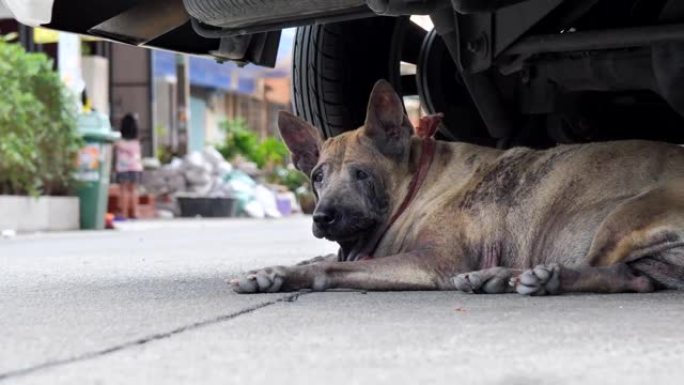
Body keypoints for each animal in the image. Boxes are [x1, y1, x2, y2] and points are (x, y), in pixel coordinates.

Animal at [230, 79, 684, 296]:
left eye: (361, 174)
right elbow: (322, 258)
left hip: (625, 215)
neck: (415, 186)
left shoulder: (433, 262)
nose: (323, 217)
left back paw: (523, 277)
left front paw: (289, 273)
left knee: (602, 267)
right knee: (632, 277)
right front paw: (272, 271)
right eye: (317, 177)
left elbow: (334, 268)